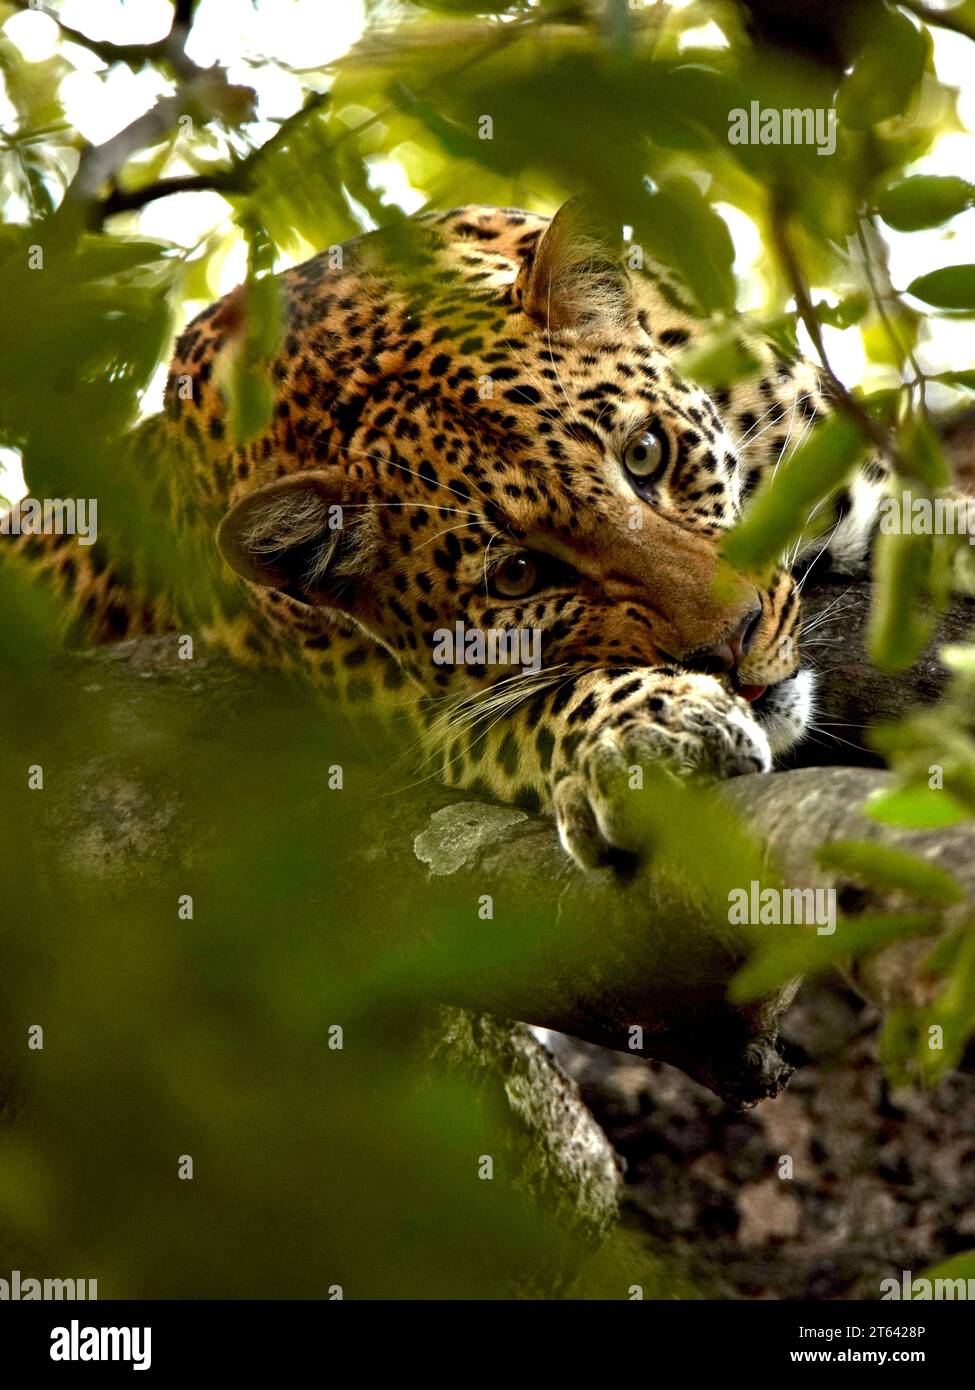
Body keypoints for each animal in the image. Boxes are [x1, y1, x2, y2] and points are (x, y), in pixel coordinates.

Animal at [3, 198, 884, 867]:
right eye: (518, 576)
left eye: (645, 454)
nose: (731, 645)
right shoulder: (423, 710)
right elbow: (550, 702)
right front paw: (648, 731)